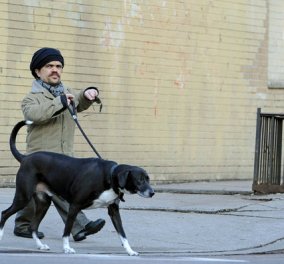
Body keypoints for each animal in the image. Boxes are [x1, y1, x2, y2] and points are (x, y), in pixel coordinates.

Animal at [0, 120, 155, 255]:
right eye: (140, 180)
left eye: (148, 179)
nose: (153, 192)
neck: (109, 177)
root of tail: (25, 158)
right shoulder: (74, 206)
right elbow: (67, 230)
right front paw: (66, 248)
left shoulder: (114, 211)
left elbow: (123, 234)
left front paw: (130, 251)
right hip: (23, 197)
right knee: (5, 213)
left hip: (44, 202)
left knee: (33, 226)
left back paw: (41, 245)